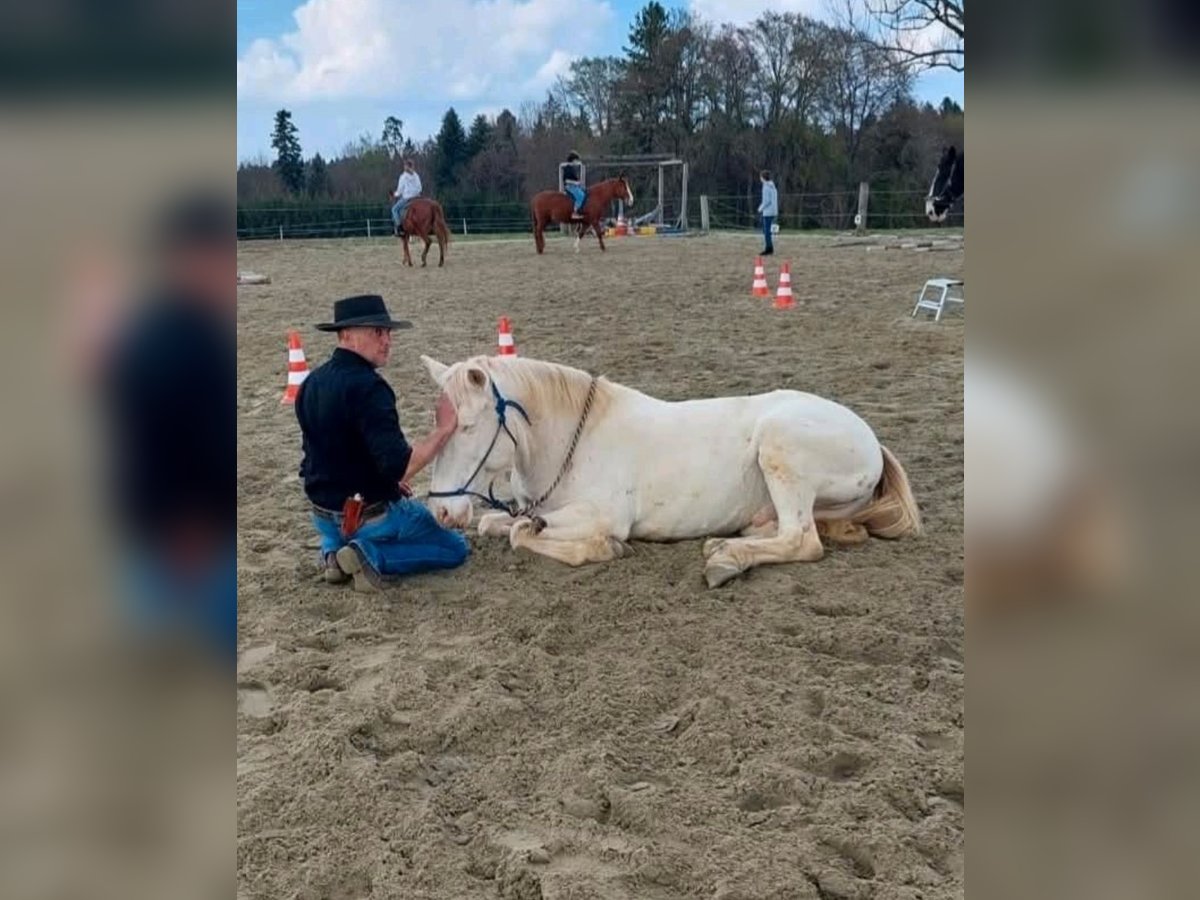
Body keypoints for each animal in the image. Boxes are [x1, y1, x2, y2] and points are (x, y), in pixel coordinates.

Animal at [417, 355, 921, 588]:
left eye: (467, 426)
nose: (440, 514)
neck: (569, 443)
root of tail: (870, 438)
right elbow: (498, 523)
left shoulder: (602, 515)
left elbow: (525, 533)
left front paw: (603, 549)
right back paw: (732, 542)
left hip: (780, 446)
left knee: (803, 539)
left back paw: (725, 560)